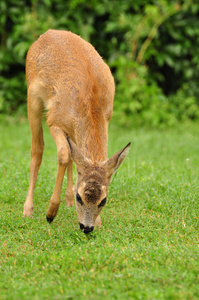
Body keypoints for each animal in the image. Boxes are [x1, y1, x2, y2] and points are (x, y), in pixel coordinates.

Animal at [22, 29, 131, 233]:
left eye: (103, 200)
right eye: (81, 197)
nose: (86, 227)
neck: (92, 104)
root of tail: (47, 33)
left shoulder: (106, 117)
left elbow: (73, 156)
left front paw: (98, 220)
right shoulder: (54, 120)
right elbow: (64, 155)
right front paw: (50, 213)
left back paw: (67, 200)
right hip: (32, 98)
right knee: (37, 149)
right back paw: (28, 209)